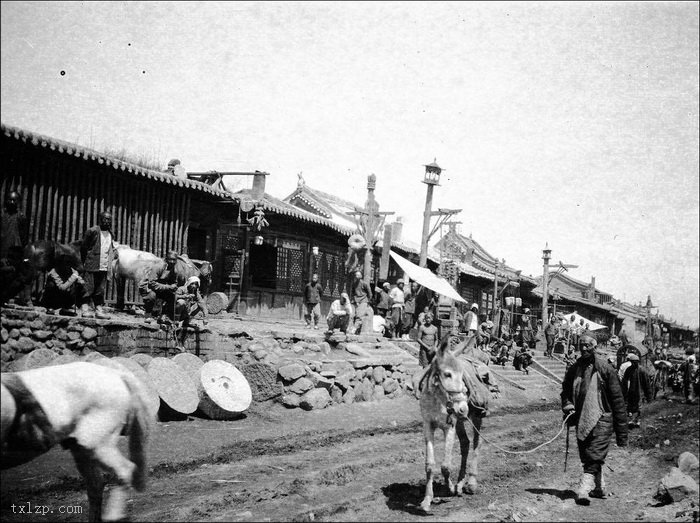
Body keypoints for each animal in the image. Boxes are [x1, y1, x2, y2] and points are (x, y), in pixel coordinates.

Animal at [1, 362, 152, 520]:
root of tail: (116, 373)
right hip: (81, 448)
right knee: (96, 485)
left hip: (98, 445)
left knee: (124, 470)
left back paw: (113, 515)